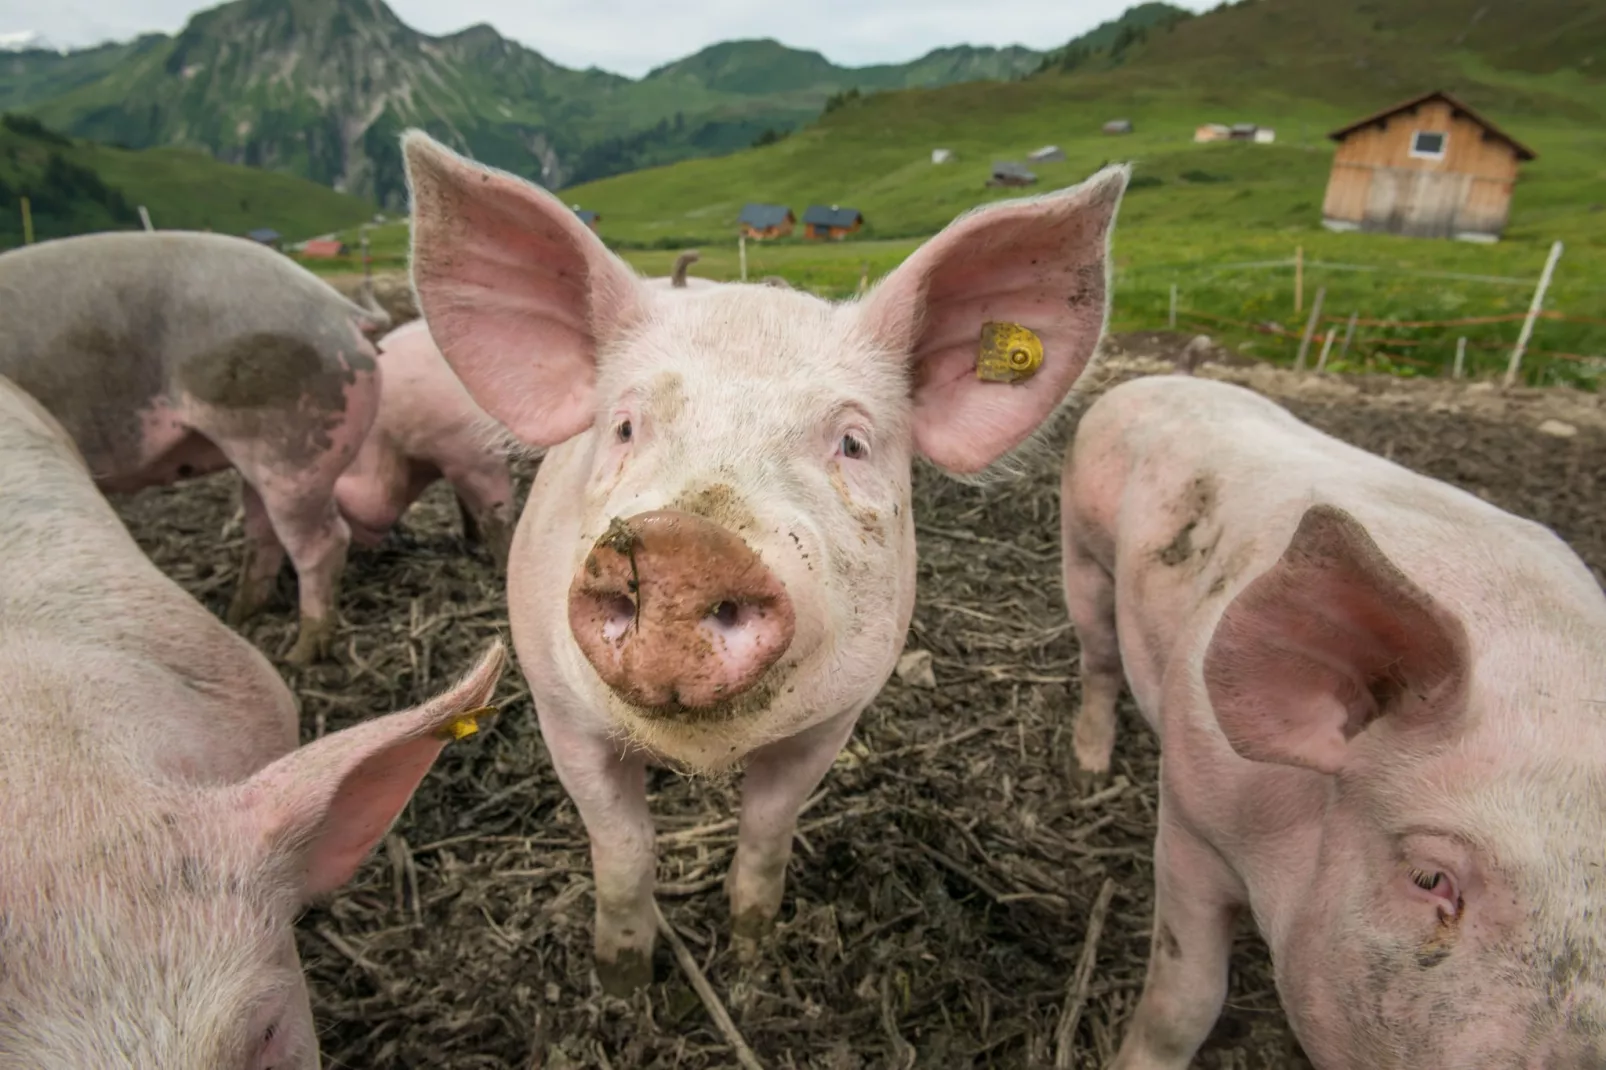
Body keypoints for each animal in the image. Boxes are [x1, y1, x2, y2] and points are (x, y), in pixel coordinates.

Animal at [0, 229, 390, 661]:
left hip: (294, 446)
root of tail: (340, 308)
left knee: (323, 542)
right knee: (263, 531)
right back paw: (238, 615)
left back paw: (299, 654)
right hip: (262, 453)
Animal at [401, 126, 1130, 989]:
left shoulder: (836, 716)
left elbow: (768, 828)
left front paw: (749, 955)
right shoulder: (559, 707)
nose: (682, 545)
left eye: (852, 443)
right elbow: (623, 846)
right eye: (624, 426)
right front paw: (622, 983)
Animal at [1053, 369, 1606, 1066]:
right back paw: (1089, 769)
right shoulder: (1189, 819)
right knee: (1098, 659)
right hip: (1081, 544)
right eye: (1430, 877)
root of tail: (1159, 379)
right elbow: (1186, 1001)